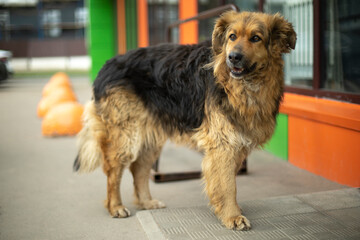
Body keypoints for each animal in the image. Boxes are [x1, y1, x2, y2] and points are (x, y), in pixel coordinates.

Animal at [74, 11, 296, 231]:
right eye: (232, 36)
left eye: (256, 38)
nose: (232, 57)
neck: (243, 86)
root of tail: (107, 65)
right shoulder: (223, 143)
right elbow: (227, 184)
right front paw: (232, 216)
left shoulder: (236, 143)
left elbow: (228, 180)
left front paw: (228, 210)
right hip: (126, 134)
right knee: (114, 170)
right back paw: (115, 206)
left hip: (150, 137)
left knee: (139, 169)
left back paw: (146, 202)